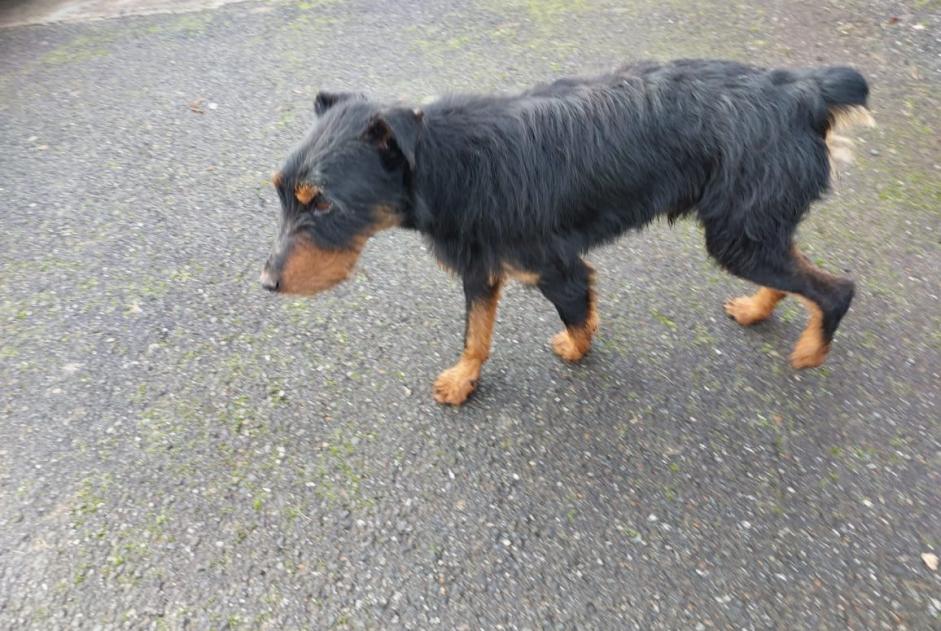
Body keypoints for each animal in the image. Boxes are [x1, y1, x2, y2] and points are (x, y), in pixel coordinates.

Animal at [258, 58, 872, 404]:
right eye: (281, 192)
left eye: (323, 203)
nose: (266, 283)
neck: (449, 166)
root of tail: (803, 90)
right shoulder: (480, 268)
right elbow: (475, 335)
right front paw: (464, 379)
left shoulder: (558, 268)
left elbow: (577, 315)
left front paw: (579, 348)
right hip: (751, 227)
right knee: (794, 271)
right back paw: (758, 309)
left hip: (738, 236)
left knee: (835, 288)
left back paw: (812, 351)